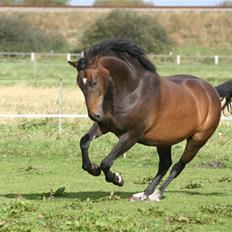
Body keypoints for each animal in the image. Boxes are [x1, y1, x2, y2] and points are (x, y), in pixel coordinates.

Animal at [68, 38, 232, 201]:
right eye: (79, 84)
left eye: (94, 81)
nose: (94, 115)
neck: (132, 91)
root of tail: (212, 91)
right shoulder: (105, 126)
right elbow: (84, 142)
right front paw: (93, 169)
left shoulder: (132, 135)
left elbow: (106, 162)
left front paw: (117, 179)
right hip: (164, 140)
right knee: (165, 164)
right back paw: (145, 193)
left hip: (197, 140)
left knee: (178, 166)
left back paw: (157, 193)